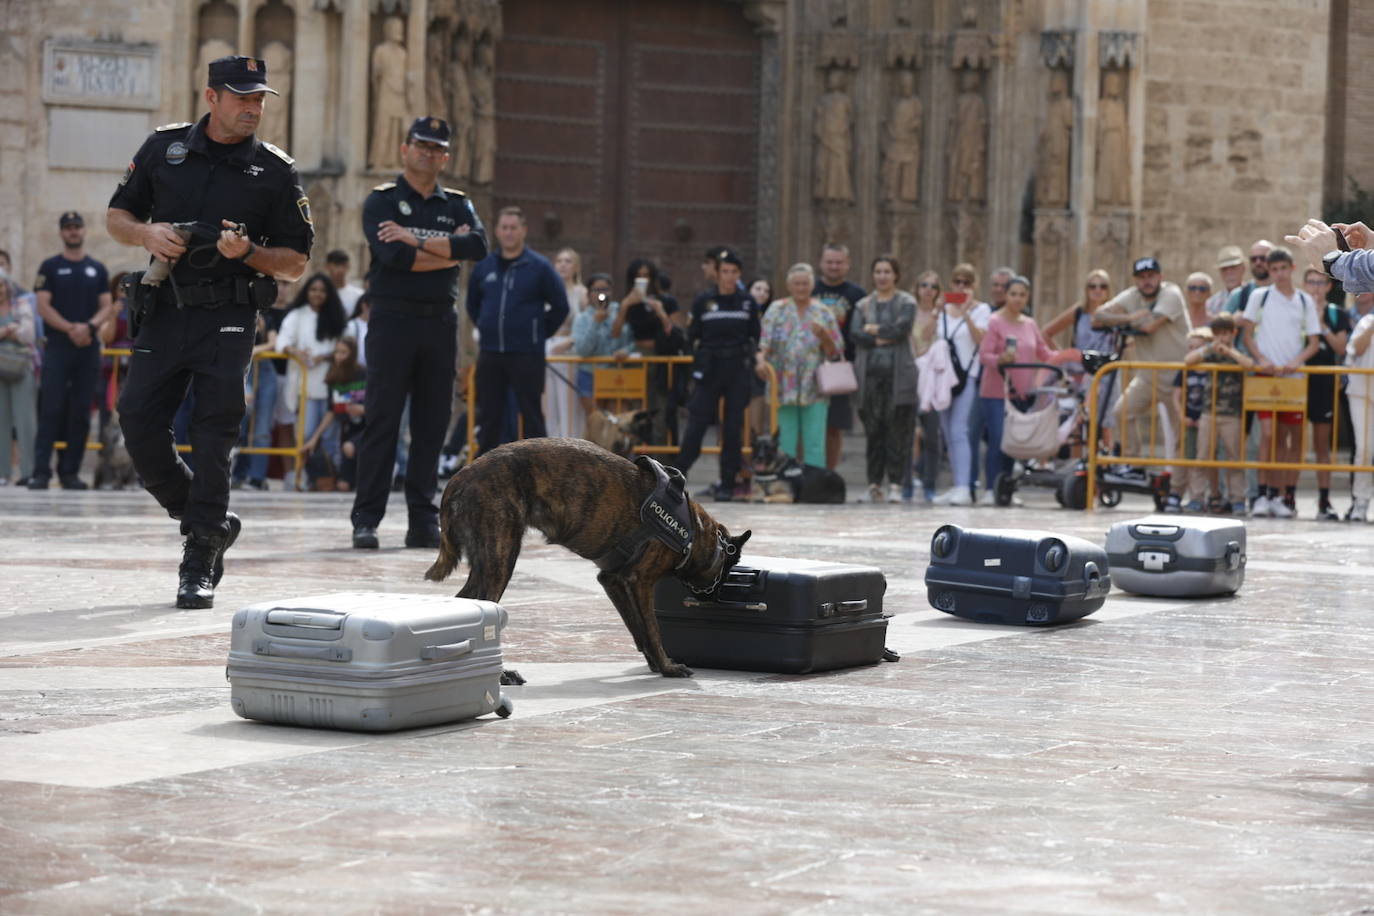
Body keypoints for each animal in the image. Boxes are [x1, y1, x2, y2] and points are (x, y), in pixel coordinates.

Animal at [428, 439, 752, 678]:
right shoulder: (640, 582)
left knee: (466, 602)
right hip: (501, 559)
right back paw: (501, 675)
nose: (717, 597)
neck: (696, 532)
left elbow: (638, 628)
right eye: (728, 570)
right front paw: (667, 666)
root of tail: (459, 478)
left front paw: (654, 663)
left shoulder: (612, 580)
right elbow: (652, 628)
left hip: (488, 562)